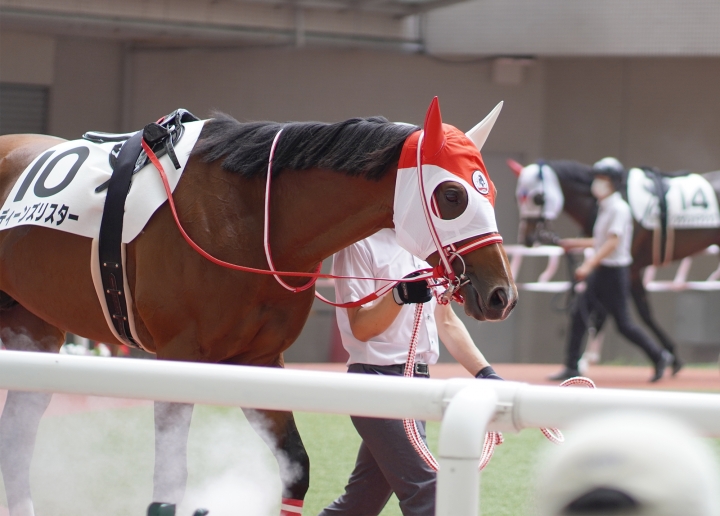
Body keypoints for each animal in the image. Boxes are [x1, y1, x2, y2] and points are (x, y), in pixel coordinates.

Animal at [0, 98, 516, 516]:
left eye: (489, 189)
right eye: (452, 195)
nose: (501, 295)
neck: (249, 219)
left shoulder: (258, 360)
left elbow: (296, 469)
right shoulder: (177, 357)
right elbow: (169, 482)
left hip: (36, 330)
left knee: (18, 437)